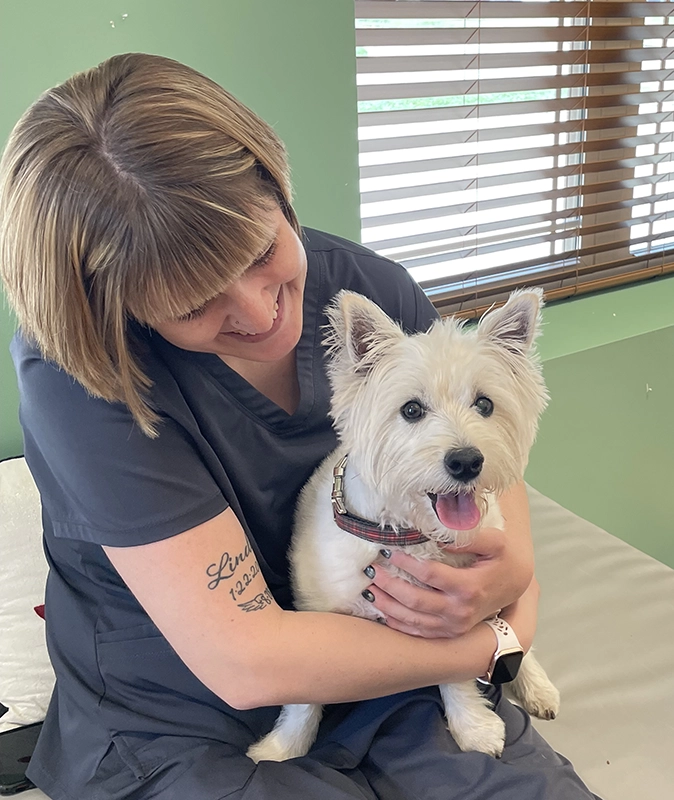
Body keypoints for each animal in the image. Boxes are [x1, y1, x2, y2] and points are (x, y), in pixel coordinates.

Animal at [245, 290, 556, 764]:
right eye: (411, 409)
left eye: (484, 404)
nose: (466, 461)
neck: (406, 536)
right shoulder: (318, 620)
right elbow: (304, 695)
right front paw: (283, 749)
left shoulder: (451, 615)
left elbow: (457, 672)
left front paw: (472, 726)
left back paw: (537, 686)